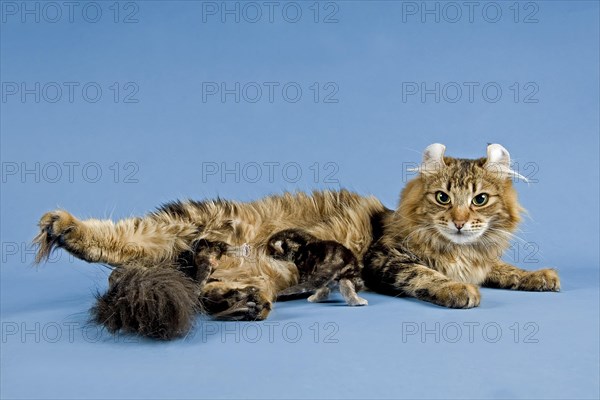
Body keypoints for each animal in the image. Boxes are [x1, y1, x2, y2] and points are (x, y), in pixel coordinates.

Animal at [31, 143, 556, 338]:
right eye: (443, 198)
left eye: (481, 200)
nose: (462, 221)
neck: (459, 249)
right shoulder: (386, 258)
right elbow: (427, 274)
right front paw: (458, 290)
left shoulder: (483, 258)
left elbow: (504, 270)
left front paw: (540, 276)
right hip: (180, 224)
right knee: (122, 238)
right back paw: (63, 226)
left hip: (250, 275)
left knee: (211, 296)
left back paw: (242, 304)